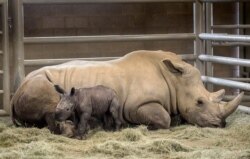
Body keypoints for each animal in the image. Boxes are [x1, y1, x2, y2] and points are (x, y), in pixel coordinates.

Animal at [10, 50, 243, 132]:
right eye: (199, 102)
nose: (220, 124)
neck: (174, 80)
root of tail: (13, 94)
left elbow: (173, 116)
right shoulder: (136, 106)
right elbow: (164, 118)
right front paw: (149, 127)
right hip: (36, 84)